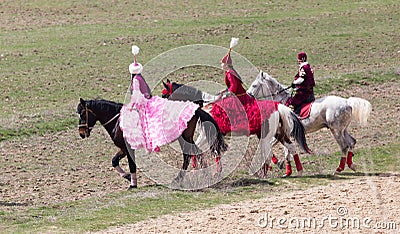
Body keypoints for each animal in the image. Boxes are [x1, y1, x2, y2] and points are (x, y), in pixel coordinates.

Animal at [76, 98, 227, 189]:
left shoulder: (128, 148)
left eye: (82, 114)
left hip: (184, 136)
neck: (118, 121)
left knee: (189, 154)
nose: (81, 133)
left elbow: (131, 165)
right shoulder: (123, 148)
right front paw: (127, 177)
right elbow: (114, 161)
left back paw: (184, 177)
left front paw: (133, 184)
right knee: (194, 153)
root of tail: (194, 108)